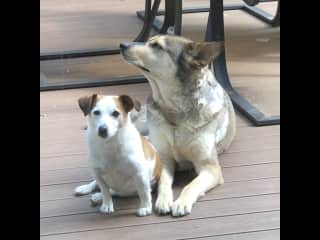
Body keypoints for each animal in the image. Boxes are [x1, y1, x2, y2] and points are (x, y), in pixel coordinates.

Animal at [120, 34, 235, 217]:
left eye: (156, 46)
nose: (122, 45)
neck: (176, 111)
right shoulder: (164, 159)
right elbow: (164, 182)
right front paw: (163, 200)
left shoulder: (210, 168)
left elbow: (191, 185)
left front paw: (181, 202)